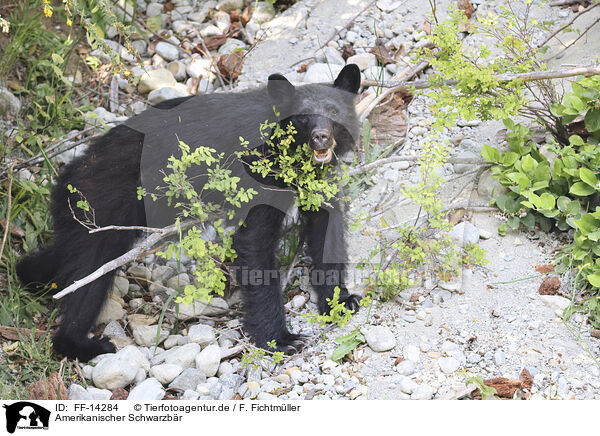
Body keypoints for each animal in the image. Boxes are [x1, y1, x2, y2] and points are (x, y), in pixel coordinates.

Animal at [16, 63, 360, 360]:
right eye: (301, 118)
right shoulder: (257, 174)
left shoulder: (319, 182)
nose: (321, 137)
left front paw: (342, 300)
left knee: (67, 256)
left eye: (334, 112)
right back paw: (80, 343)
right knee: (90, 274)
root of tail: (69, 173)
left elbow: (326, 228)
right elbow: (255, 244)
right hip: (102, 209)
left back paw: (29, 273)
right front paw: (281, 339)